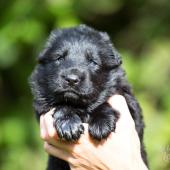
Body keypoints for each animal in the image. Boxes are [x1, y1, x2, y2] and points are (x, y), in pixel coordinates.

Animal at [29, 24, 147, 169]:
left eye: (93, 62)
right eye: (59, 58)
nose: (71, 79)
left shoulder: (129, 103)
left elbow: (103, 102)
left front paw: (101, 123)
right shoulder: (42, 103)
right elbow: (61, 105)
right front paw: (68, 124)